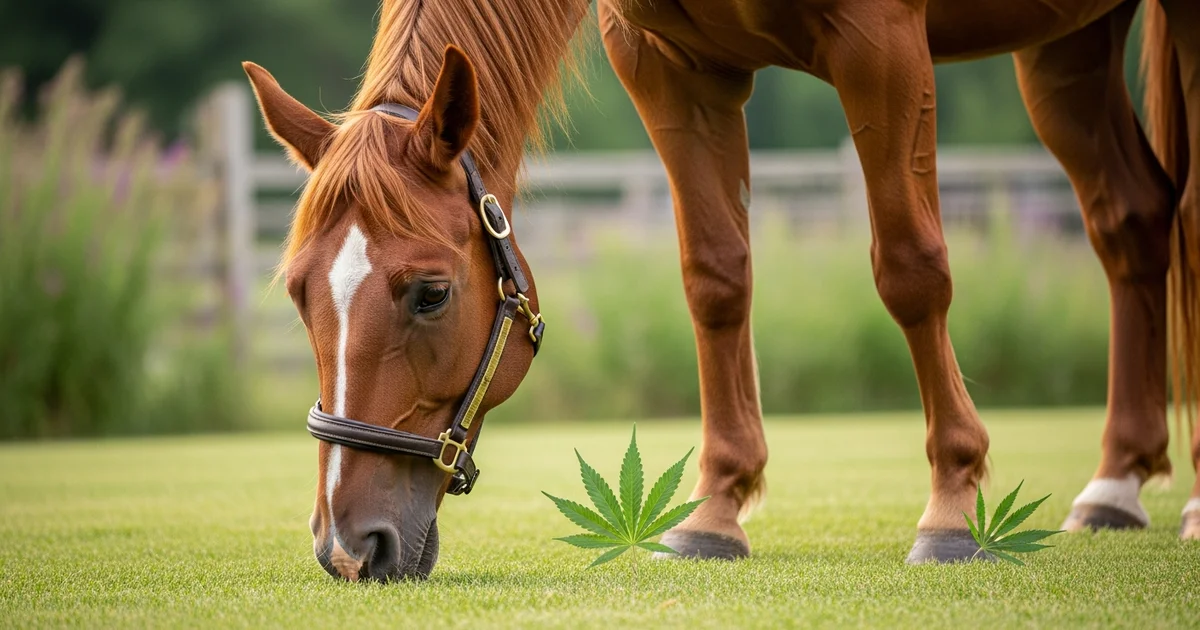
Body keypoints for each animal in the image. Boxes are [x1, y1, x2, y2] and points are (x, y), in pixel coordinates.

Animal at [242, 0, 1199, 580]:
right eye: (298, 295)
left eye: (431, 294)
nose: (348, 547)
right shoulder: (671, 62)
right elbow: (716, 276)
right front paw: (716, 510)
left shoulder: (881, 43)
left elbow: (910, 268)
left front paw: (953, 503)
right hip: (1062, 46)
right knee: (1131, 220)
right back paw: (1116, 482)